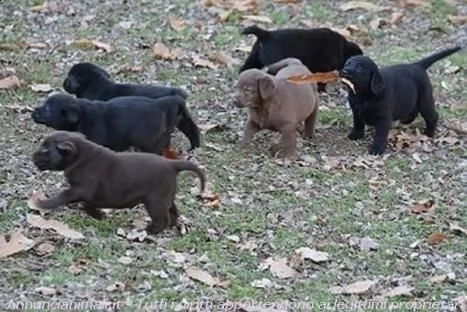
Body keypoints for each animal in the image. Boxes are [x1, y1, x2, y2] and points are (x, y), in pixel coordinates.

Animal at [32, 130, 207, 235]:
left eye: (45, 150)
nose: (33, 156)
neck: (80, 156)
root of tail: (172, 164)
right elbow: (87, 204)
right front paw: (99, 215)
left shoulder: (81, 190)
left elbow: (66, 197)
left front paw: (43, 203)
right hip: (166, 197)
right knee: (173, 213)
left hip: (155, 201)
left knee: (162, 219)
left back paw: (148, 230)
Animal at [63, 62, 200, 150]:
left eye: (69, 77)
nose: (64, 82)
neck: (96, 85)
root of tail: (177, 94)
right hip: (182, 119)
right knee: (192, 130)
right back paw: (194, 148)